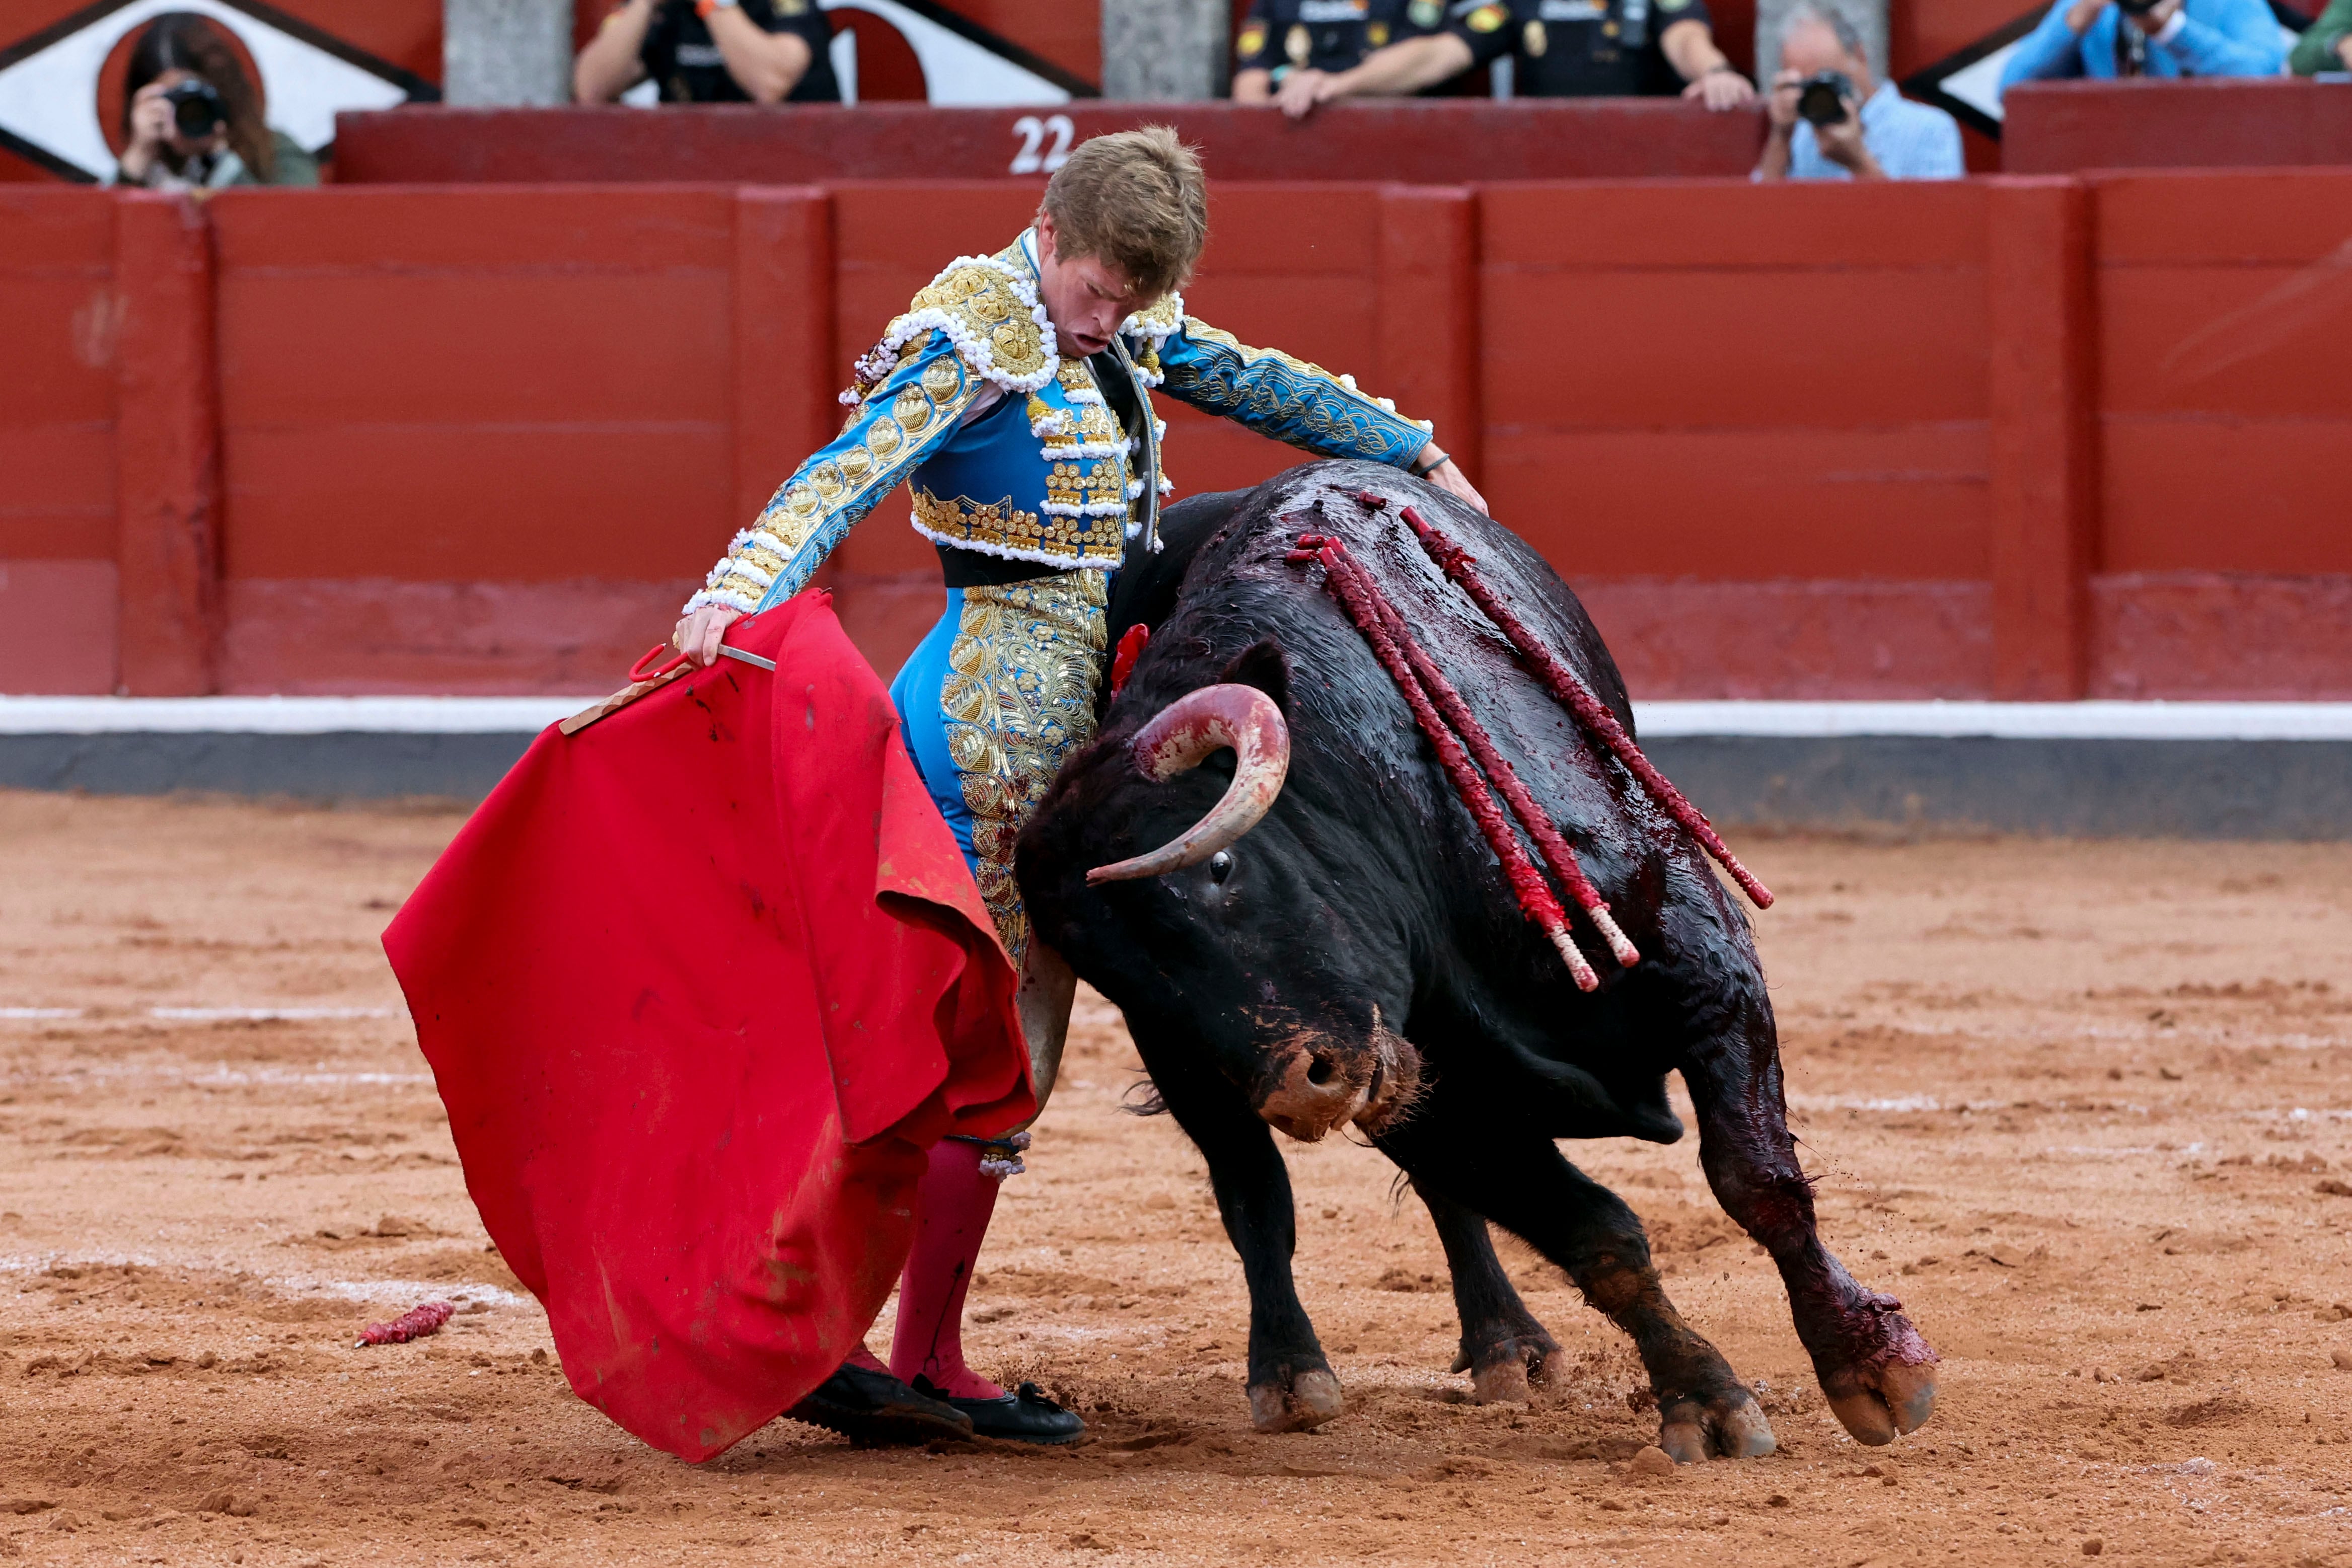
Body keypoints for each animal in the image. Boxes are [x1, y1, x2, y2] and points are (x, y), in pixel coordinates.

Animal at [1020, 456, 1938, 1457]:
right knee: (1255, 1190)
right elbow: (1595, 1236)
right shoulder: (1424, 1086)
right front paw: (1705, 1399)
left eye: (1219, 866)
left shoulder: (1704, 965)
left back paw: (1505, 1345)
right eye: (1120, 974)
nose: (1303, 1085)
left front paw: (1869, 1364)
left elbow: (1756, 1178)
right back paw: (1299, 1373)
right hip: (1218, 1076)